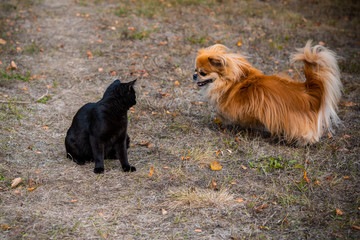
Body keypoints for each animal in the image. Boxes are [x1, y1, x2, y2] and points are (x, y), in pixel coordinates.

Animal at [194, 42, 344, 145]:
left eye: (203, 73)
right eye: (195, 70)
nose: (194, 75)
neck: (231, 81)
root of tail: (306, 90)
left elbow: (225, 115)